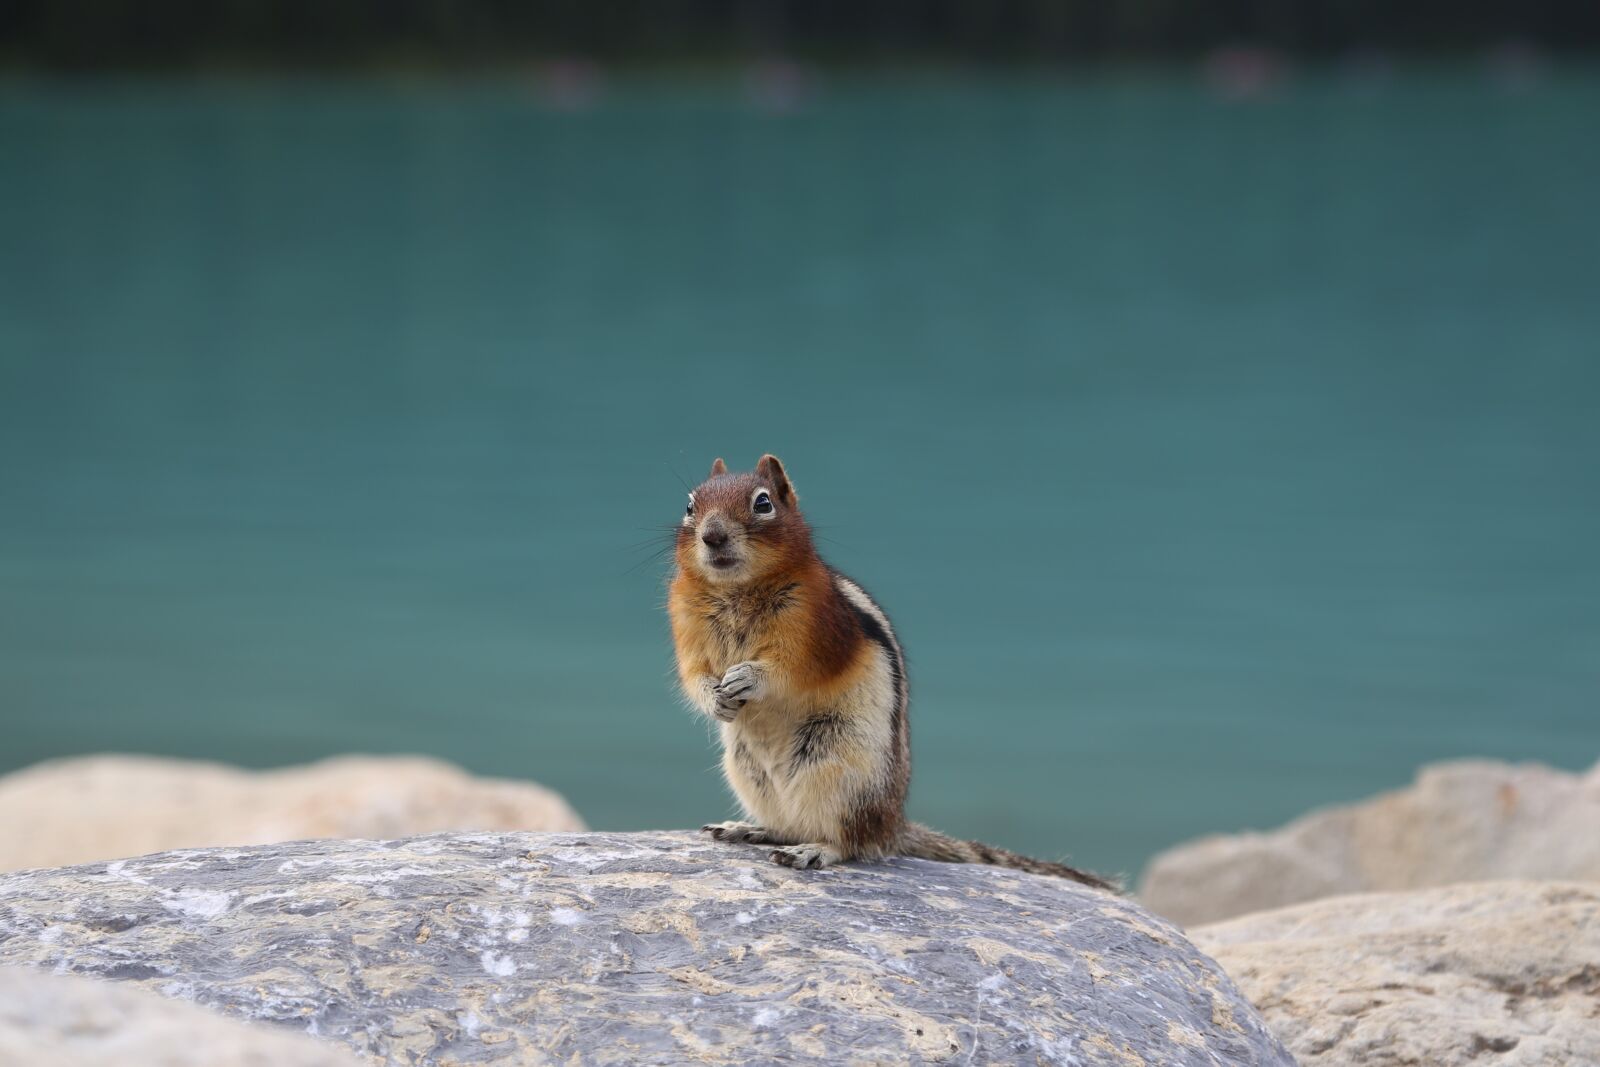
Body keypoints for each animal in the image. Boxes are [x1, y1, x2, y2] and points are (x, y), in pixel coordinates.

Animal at [667, 454, 1115, 890]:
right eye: (690, 506)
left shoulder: (817, 631)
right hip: (749, 770)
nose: (712, 536)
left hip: (839, 772)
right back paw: (748, 829)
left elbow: (790, 671)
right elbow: (692, 675)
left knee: (850, 842)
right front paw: (714, 697)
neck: (735, 589)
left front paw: (748, 677)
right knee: (790, 826)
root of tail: (894, 825)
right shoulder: (686, 628)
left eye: (763, 503)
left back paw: (813, 849)